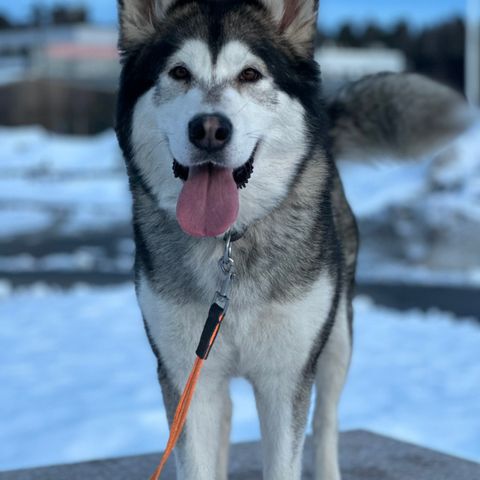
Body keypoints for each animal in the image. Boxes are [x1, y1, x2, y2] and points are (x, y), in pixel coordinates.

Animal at [115, 1, 472, 478]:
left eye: (250, 74)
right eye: (179, 72)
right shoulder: (185, 373)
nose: (209, 129)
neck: (229, 244)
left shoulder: (286, 377)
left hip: (337, 337)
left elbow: (289, 451)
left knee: (326, 420)